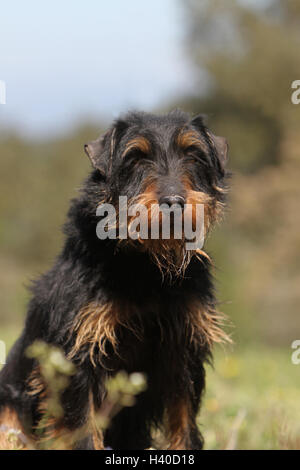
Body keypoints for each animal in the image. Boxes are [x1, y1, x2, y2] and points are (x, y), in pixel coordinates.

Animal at [0, 108, 230, 450]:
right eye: (135, 157)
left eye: (193, 154)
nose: (174, 202)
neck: (148, 268)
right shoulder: (78, 355)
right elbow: (82, 429)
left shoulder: (183, 354)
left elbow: (184, 426)